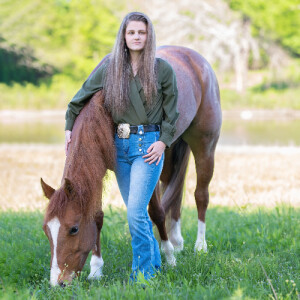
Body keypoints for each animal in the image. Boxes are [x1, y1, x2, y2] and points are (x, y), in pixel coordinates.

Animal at [41, 45, 221, 286]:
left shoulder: (148, 163)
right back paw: (177, 241)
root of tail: (195, 58)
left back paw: (199, 246)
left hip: (204, 146)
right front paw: (96, 269)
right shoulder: (99, 171)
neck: (104, 105)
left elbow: (156, 212)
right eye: (46, 230)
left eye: (73, 229)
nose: (58, 282)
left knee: (201, 195)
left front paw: (168, 256)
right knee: (175, 194)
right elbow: (97, 216)